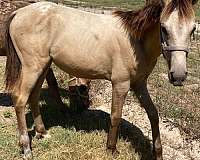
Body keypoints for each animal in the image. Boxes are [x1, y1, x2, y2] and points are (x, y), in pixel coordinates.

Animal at [3, 0, 198, 159]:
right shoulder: (121, 84)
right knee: (20, 99)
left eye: (193, 29)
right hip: (32, 67)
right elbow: (116, 116)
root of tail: (18, 12)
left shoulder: (139, 84)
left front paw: (158, 153)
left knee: (34, 96)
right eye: (163, 28)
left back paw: (42, 132)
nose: (178, 76)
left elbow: (153, 114)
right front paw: (111, 149)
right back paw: (26, 148)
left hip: (43, 66)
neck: (135, 41)